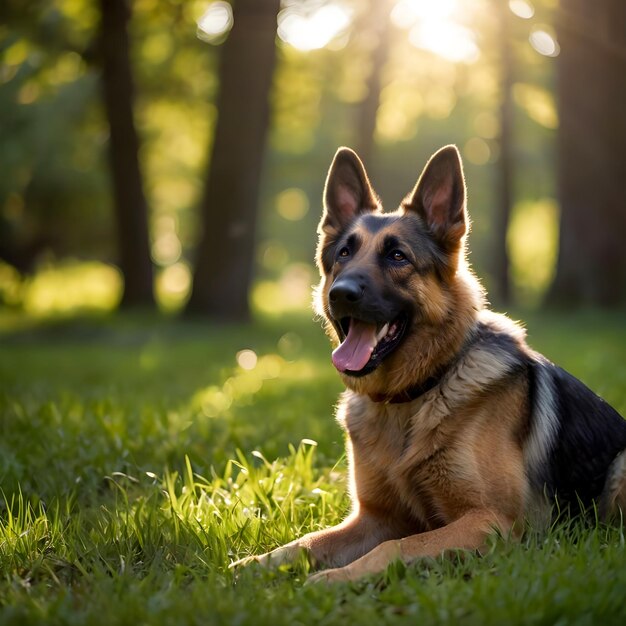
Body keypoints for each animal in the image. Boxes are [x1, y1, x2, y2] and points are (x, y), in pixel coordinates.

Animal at [233, 145, 624, 580]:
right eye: (344, 254)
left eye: (397, 256)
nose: (341, 293)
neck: (411, 396)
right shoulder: (373, 518)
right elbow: (303, 544)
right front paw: (247, 568)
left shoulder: (491, 523)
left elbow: (395, 547)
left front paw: (333, 579)